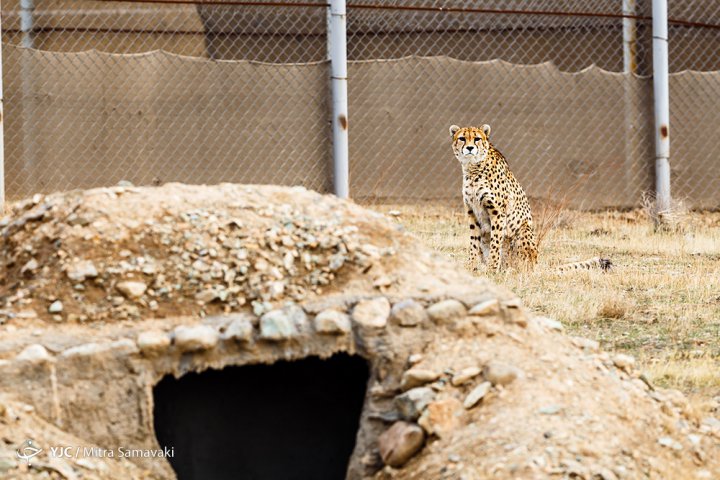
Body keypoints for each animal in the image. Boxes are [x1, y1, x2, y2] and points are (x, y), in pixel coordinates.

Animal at [448, 124, 612, 274]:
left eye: (477, 139)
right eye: (462, 138)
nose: (470, 148)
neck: (473, 168)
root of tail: (536, 265)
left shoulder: (497, 212)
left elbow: (495, 244)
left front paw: (492, 269)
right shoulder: (472, 212)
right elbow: (473, 243)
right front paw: (470, 268)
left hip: (523, 230)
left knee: (521, 266)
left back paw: (510, 270)